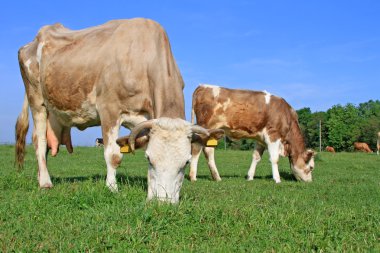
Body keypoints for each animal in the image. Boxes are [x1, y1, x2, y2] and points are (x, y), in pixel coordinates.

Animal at [14, 18, 212, 204]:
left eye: (186, 162)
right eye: (149, 159)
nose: (163, 202)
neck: (143, 57)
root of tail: (32, 41)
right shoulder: (109, 109)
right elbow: (113, 155)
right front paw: (112, 188)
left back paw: (41, 176)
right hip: (36, 99)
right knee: (39, 141)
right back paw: (45, 182)